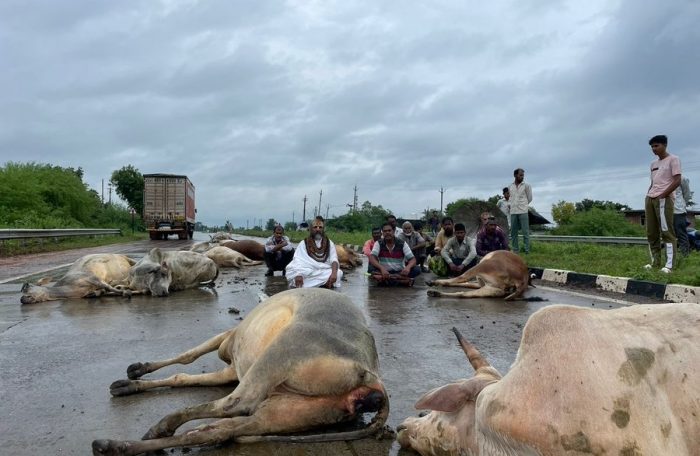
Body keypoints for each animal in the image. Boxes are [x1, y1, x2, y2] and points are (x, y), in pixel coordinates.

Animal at [91, 288, 388, 456]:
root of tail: (372, 374)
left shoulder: (228, 337)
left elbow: (188, 357)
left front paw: (139, 370)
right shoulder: (231, 369)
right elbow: (182, 376)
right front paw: (131, 382)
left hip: (282, 352)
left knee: (232, 404)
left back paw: (160, 426)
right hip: (296, 412)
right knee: (216, 430)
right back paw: (114, 446)